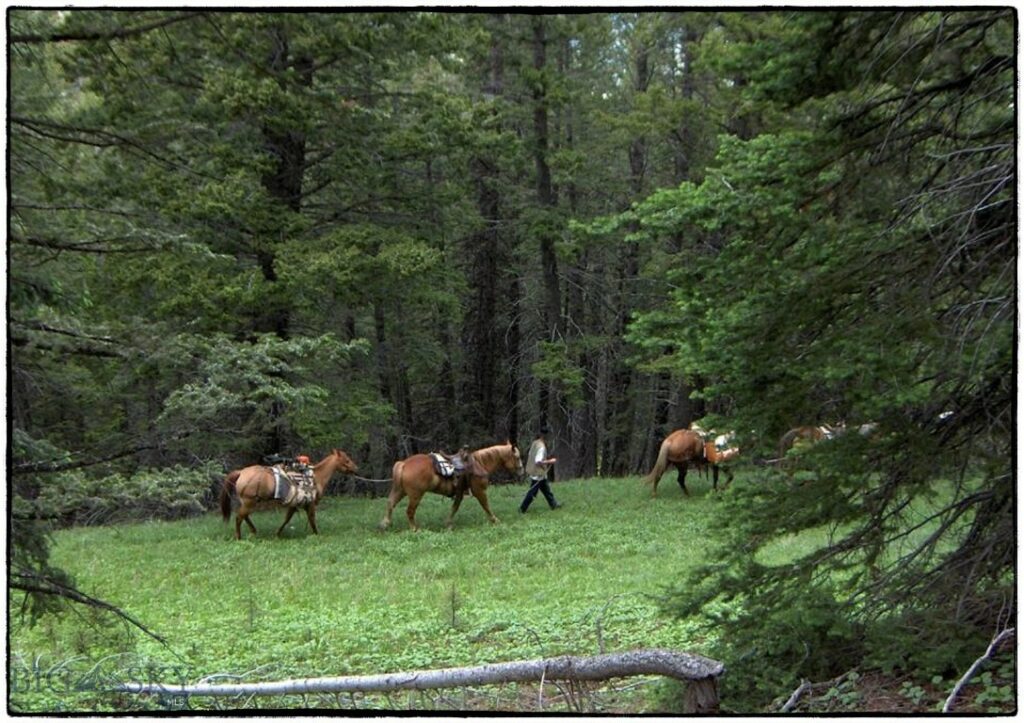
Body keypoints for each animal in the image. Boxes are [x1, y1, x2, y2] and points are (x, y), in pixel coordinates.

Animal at [218, 448, 358, 536]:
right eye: (346, 460)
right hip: (249, 502)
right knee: (239, 517)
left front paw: (277, 533)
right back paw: (239, 536)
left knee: (244, 516)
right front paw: (317, 534)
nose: (356, 468)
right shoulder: (311, 504)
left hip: (249, 503)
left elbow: (287, 519)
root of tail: (241, 472)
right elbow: (312, 520)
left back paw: (253, 531)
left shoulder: (294, 504)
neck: (316, 477)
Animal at [378, 438, 524, 528]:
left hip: (400, 491)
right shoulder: (479, 491)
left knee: (390, 503)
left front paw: (448, 524)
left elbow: (455, 507)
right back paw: (415, 529)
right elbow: (486, 506)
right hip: (415, 495)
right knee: (409, 511)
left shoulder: (459, 493)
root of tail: (403, 464)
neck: (480, 463)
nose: (521, 470)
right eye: (517, 457)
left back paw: (385, 524)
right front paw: (495, 520)